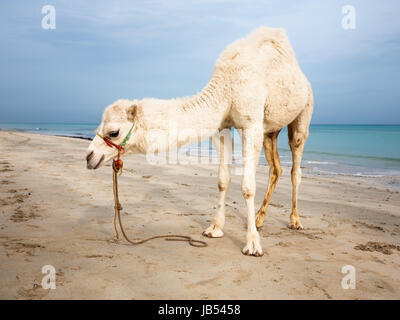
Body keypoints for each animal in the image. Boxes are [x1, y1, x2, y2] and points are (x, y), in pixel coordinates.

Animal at [86, 27, 312, 258]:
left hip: (304, 112)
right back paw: (259, 218)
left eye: (113, 132)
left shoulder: (251, 125)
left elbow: (248, 186)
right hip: (271, 131)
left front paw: (252, 244)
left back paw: (295, 221)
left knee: (296, 163)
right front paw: (215, 228)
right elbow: (222, 180)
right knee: (276, 168)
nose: (89, 156)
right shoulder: (222, 127)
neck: (227, 88)